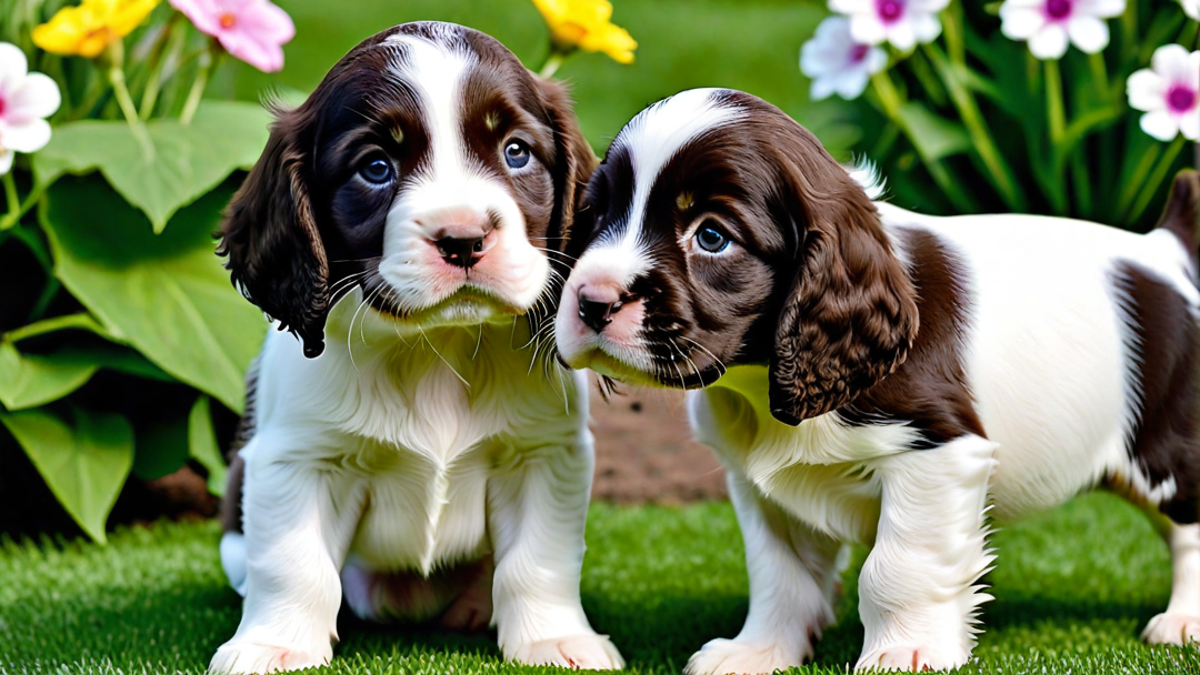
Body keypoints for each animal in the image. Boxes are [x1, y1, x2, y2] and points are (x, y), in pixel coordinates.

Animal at [210, 21, 624, 672]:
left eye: (516, 152)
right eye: (376, 167)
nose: (464, 239)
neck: (437, 348)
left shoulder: (544, 454)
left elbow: (540, 560)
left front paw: (554, 640)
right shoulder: (295, 459)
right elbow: (293, 564)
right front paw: (274, 644)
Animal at [554, 86, 1200, 667]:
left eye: (712, 236)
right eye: (597, 215)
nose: (591, 302)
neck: (763, 385)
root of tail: (1164, 249)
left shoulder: (936, 453)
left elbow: (896, 566)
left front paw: (906, 651)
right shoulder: (758, 484)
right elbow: (780, 575)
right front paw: (758, 652)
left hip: (1164, 446)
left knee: (1188, 525)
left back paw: (1185, 621)